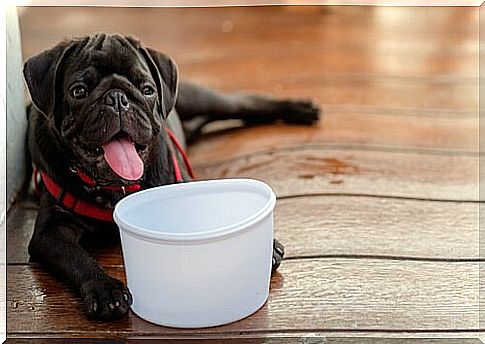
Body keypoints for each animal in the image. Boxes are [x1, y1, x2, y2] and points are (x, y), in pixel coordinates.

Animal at [22, 33, 320, 322]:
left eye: (147, 90)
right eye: (79, 92)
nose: (117, 98)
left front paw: (266, 246)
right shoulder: (51, 232)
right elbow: (78, 258)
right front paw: (105, 289)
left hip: (200, 98)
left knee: (243, 104)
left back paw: (300, 110)